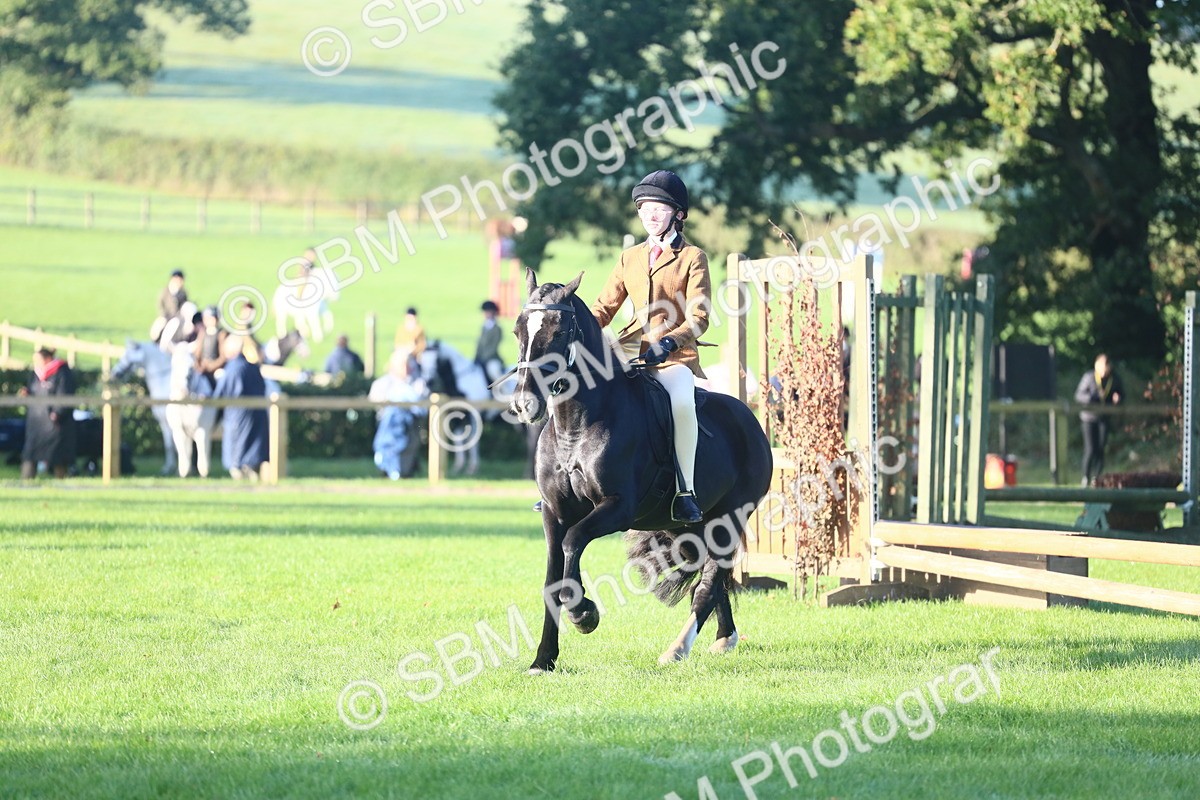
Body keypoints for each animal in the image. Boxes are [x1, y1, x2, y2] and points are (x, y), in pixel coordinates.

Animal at [164, 348, 219, 478]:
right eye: (174, 364)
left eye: (192, 367)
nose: (183, 390)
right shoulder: (179, 430)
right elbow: (184, 454)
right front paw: (184, 472)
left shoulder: (202, 430)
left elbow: (202, 458)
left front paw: (204, 473)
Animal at [509, 271, 773, 673]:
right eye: (518, 329)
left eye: (558, 331)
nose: (525, 404)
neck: (577, 425)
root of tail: (749, 419)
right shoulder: (554, 512)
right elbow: (551, 581)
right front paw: (543, 659)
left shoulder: (617, 507)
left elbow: (573, 541)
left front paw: (584, 614)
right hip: (689, 525)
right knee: (710, 577)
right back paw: (724, 637)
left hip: (730, 518)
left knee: (708, 585)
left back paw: (678, 649)